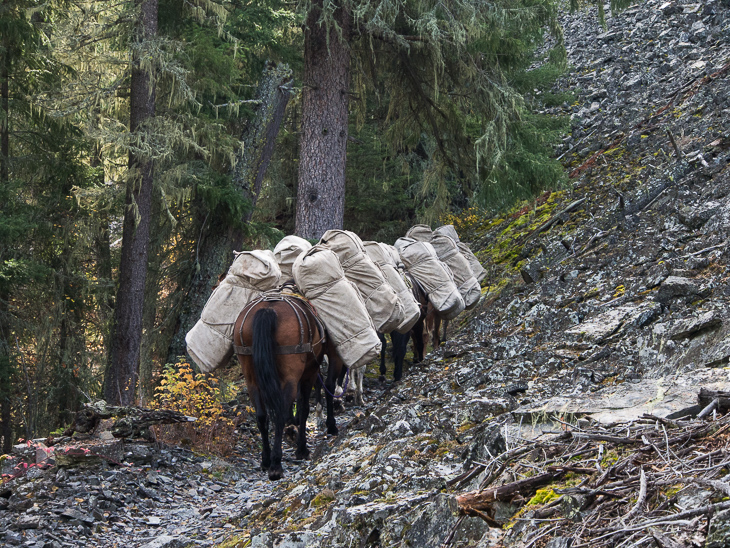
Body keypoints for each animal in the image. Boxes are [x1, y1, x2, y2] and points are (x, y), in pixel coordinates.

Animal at [233, 292, 342, 480]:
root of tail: (268, 310)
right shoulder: (313, 370)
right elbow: (308, 404)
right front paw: (305, 447)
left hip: (251, 378)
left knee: (262, 416)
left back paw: (266, 460)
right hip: (290, 377)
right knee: (280, 415)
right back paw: (276, 465)